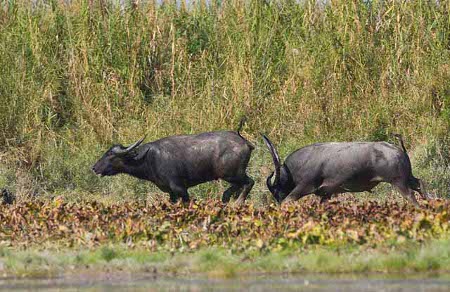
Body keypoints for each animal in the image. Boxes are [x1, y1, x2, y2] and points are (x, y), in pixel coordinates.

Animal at [93, 120, 255, 204]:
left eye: (110, 155)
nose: (94, 168)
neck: (149, 158)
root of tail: (245, 142)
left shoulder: (180, 189)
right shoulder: (171, 193)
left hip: (233, 174)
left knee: (249, 182)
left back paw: (238, 203)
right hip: (231, 176)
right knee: (234, 188)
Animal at [262, 134, 430, 205]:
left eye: (277, 189)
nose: (277, 202)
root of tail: (398, 149)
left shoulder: (303, 187)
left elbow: (289, 200)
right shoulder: (327, 194)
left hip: (398, 182)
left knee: (410, 195)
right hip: (408, 177)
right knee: (420, 184)